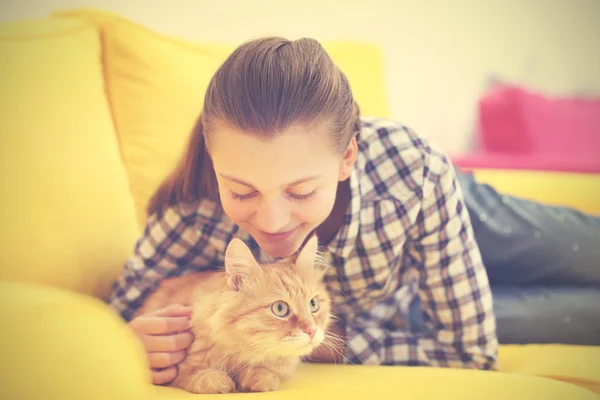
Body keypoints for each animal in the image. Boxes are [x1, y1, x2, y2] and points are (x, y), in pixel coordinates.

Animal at [137, 234, 332, 394]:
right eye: (280, 308)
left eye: (313, 304)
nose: (312, 330)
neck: (241, 351)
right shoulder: (180, 366)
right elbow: (194, 373)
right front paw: (218, 381)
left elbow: (266, 370)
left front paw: (257, 377)